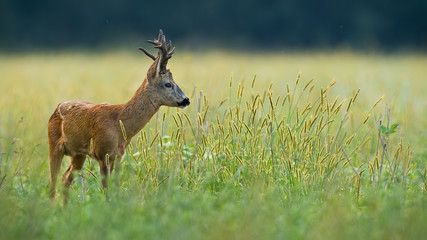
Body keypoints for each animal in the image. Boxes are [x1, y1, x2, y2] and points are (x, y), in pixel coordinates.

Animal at [47, 29, 190, 203]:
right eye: (168, 84)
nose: (186, 100)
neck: (118, 124)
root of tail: (56, 108)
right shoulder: (102, 153)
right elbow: (106, 189)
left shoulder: (118, 156)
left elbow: (115, 186)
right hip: (54, 145)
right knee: (53, 180)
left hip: (78, 154)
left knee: (66, 178)